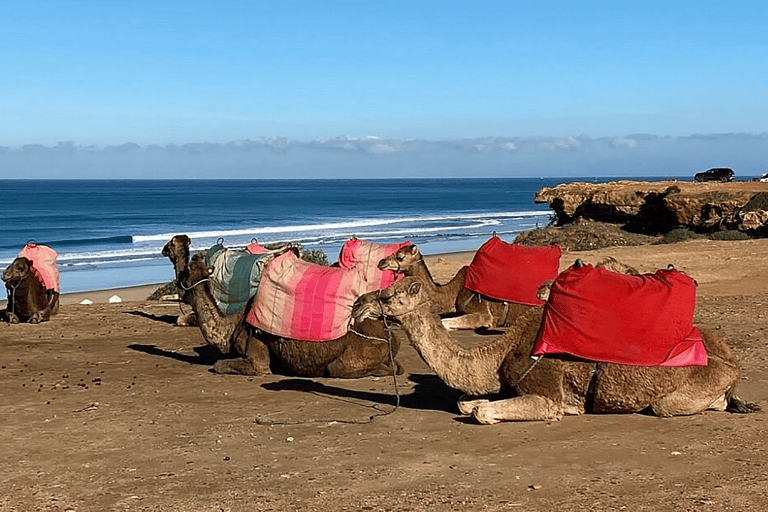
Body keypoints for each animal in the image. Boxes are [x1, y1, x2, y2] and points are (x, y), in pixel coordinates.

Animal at [162, 234, 402, 378]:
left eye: (186, 271)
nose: (180, 240)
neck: (230, 325)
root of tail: (392, 337)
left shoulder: (256, 353)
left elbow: (221, 365)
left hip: (347, 361)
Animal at [356, 272, 760, 424]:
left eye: (388, 296)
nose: (359, 303)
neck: (500, 353)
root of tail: (734, 364)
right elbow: (466, 403)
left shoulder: (546, 390)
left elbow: (482, 412)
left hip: (681, 393)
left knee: (672, 405)